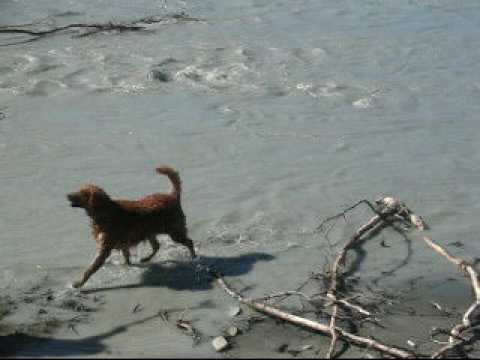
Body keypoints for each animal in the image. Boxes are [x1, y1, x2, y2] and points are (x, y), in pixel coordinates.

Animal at [66, 167, 196, 290]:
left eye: (81, 193)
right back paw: (145, 259)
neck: (103, 211)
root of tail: (172, 195)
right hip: (150, 231)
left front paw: (78, 284)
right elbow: (126, 257)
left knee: (189, 242)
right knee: (156, 246)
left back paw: (193, 257)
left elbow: (90, 269)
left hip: (174, 231)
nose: (67, 195)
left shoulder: (104, 248)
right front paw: (127, 266)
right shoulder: (122, 243)